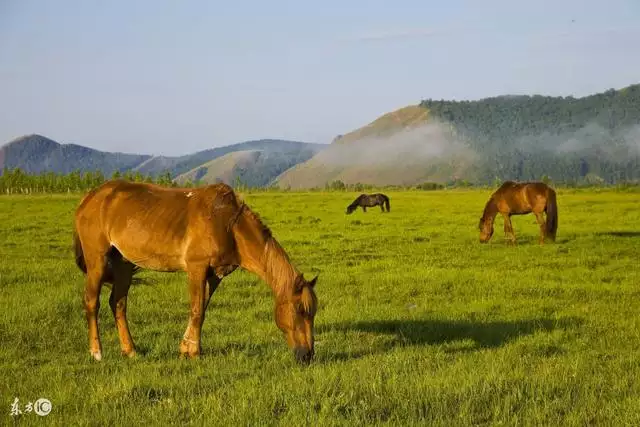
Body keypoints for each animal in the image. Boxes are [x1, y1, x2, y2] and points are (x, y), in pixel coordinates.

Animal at [74, 180, 318, 364]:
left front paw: (186, 349)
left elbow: (202, 310)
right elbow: (197, 310)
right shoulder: (196, 268)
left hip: (123, 264)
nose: (307, 355)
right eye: (300, 310)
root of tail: (90, 198)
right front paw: (194, 352)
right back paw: (96, 352)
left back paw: (130, 350)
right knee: (92, 302)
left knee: (118, 304)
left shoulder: (215, 275)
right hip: (97, 261)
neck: (229, 224)